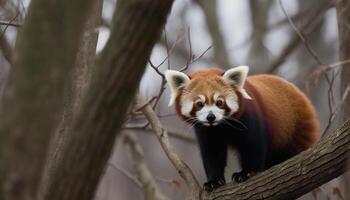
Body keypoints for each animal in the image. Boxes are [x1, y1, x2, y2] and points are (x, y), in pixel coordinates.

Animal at [165, 66, 318, 191]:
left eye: (219, 102)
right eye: (199, 104)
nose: (211, 117)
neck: (221, 126)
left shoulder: (249, 117)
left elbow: (253, 145)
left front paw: (246, 173)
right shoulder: (206, 131)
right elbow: (212, 153)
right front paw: (214, 181)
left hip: (296, 130)